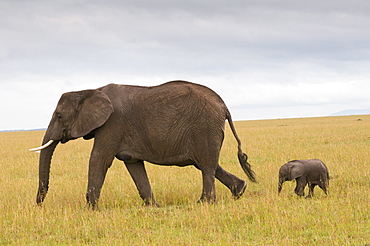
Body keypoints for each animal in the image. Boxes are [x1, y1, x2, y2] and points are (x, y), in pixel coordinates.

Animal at [30, 80, 256, 208]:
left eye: (59, 116)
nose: (38, 205)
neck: (90, 90)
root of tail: (224, 105)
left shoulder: (112, 124)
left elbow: (99, 159)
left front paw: (90, 209)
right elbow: (134, 165)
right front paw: (153, 207)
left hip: (204, 127)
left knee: (207, 166)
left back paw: (204, 203)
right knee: (207, 163)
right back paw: (240, 190)